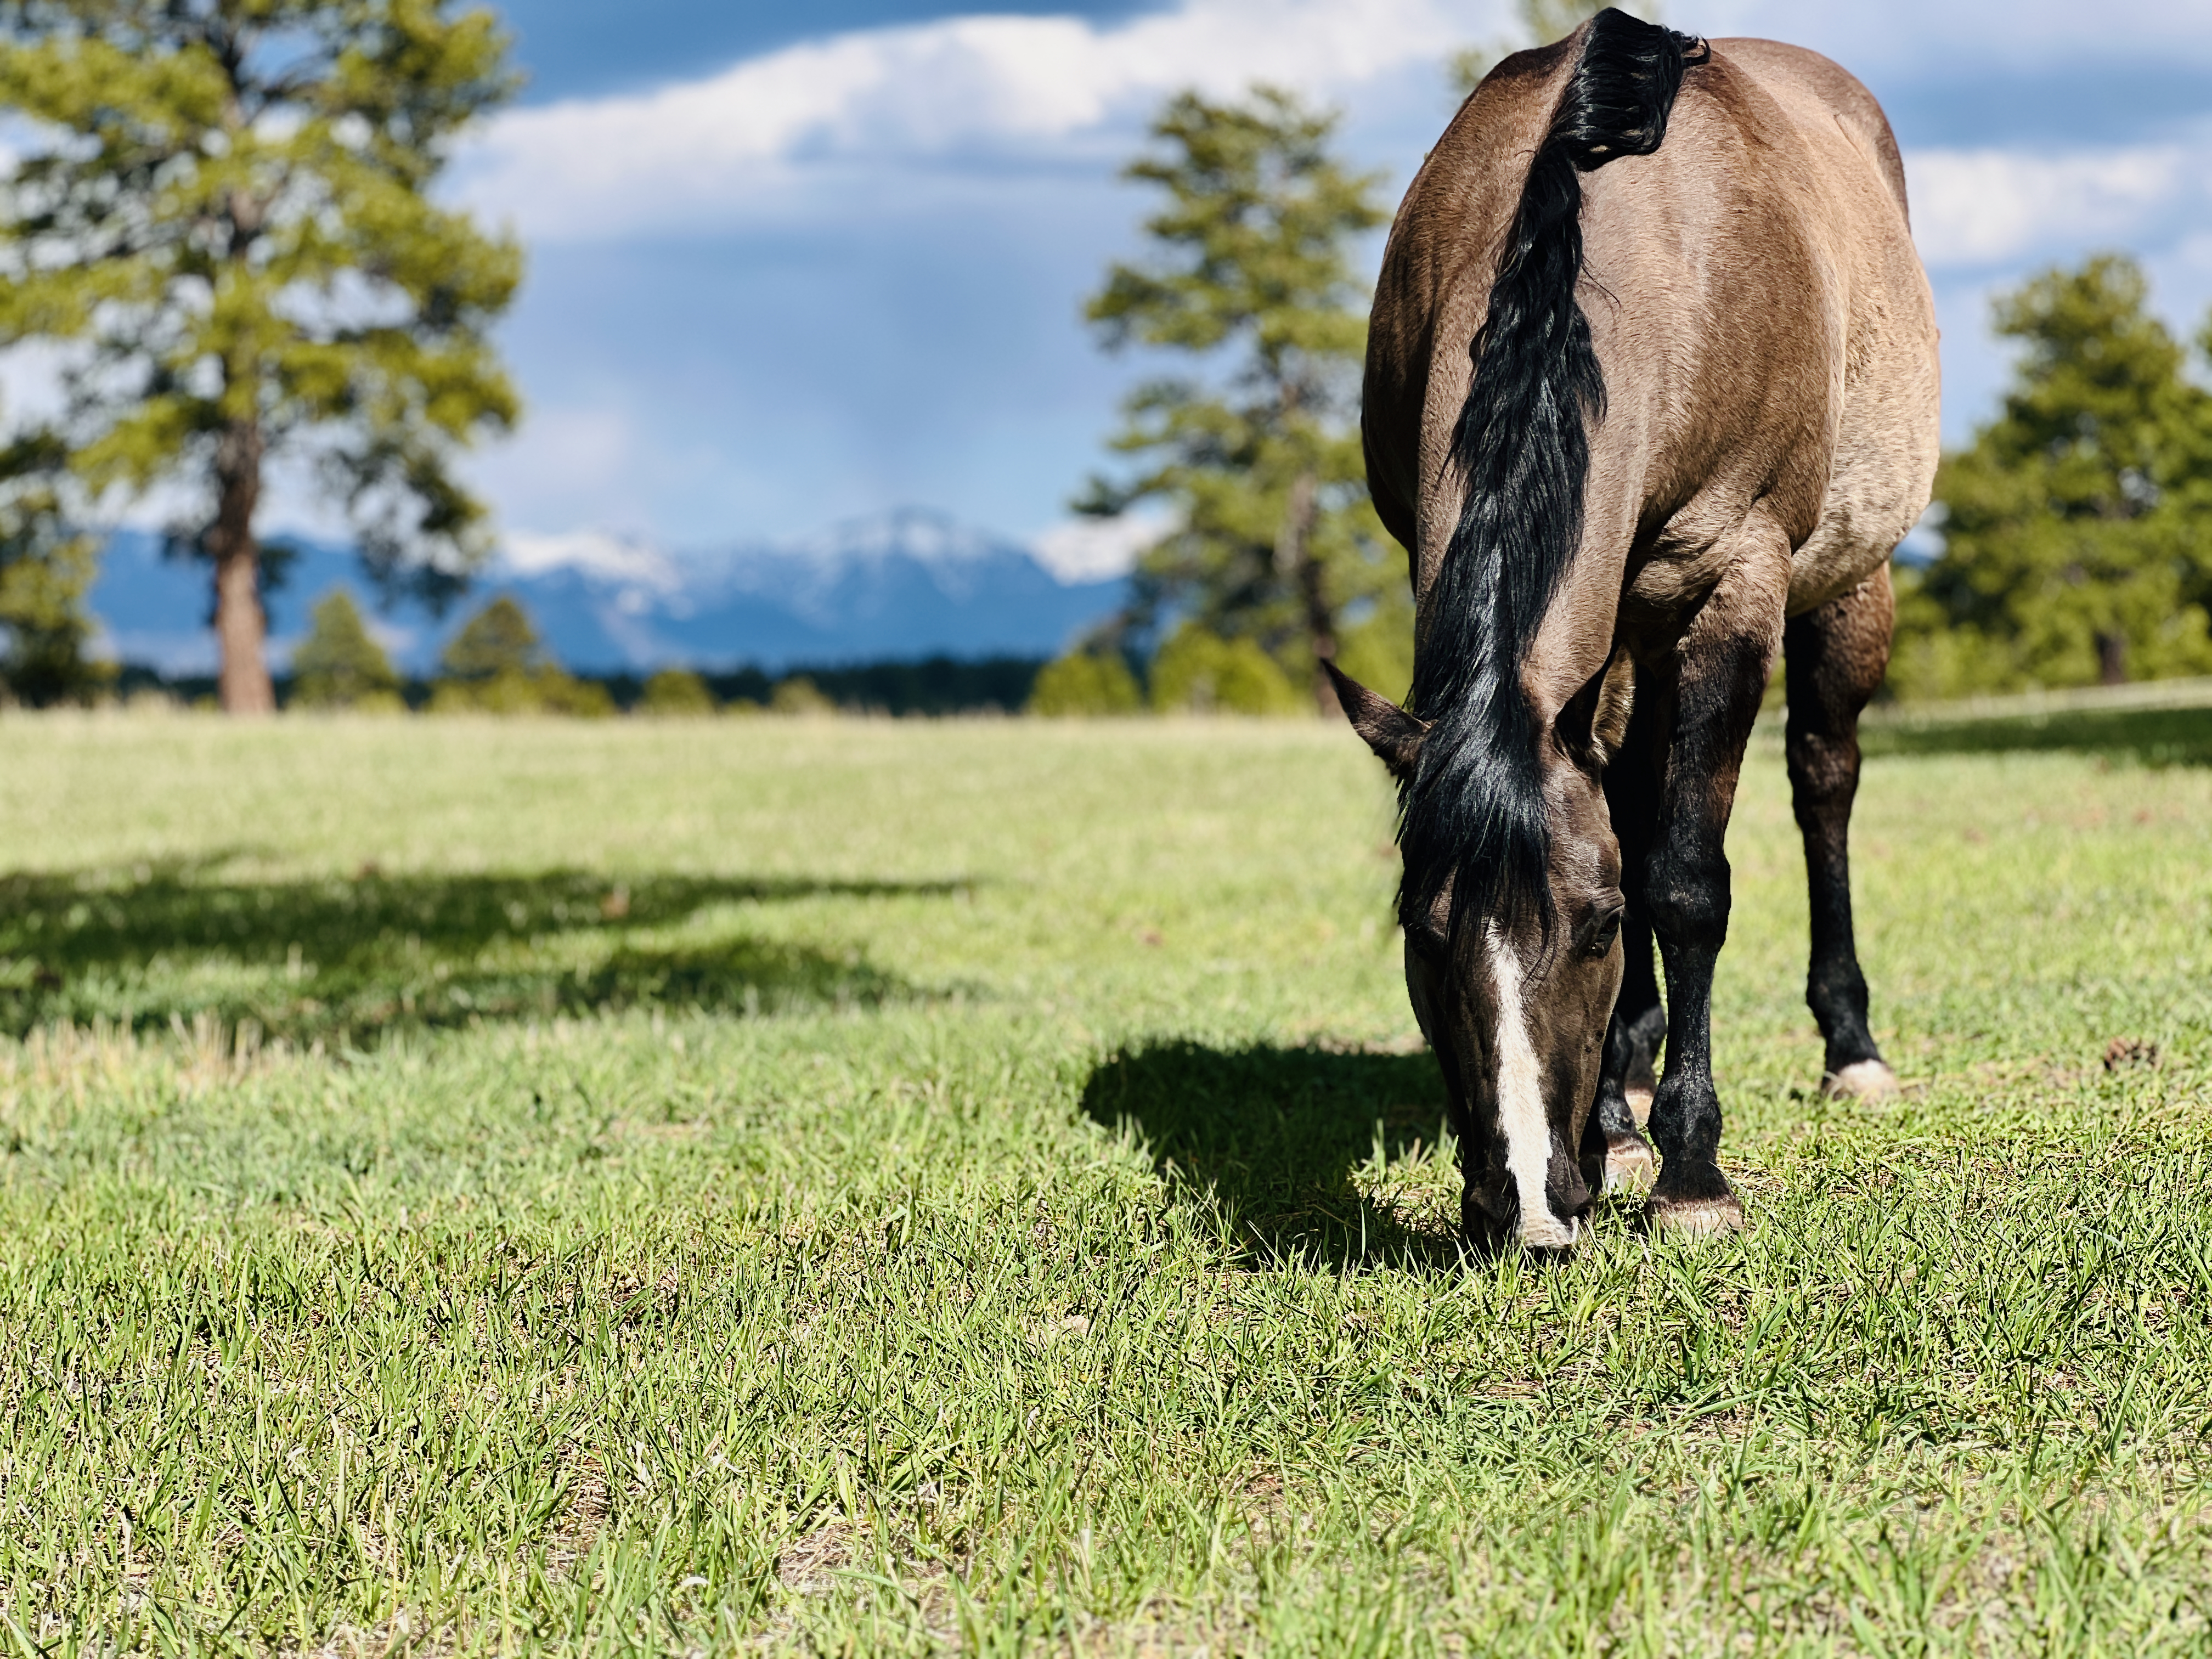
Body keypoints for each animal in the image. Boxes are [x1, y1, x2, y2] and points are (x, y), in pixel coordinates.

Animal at [1328, 8, 1939, 1248]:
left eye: (1601, 925)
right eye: (1420, 929)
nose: (1525, 1207)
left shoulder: (1732, 585)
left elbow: (1687, 879)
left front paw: (1693, 1170)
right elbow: (1630, 816)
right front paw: (1620, 1114)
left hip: (1845, 587)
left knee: (1823, 779)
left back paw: (1847, 1048)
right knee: (1639, 782)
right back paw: (1628, 1086)